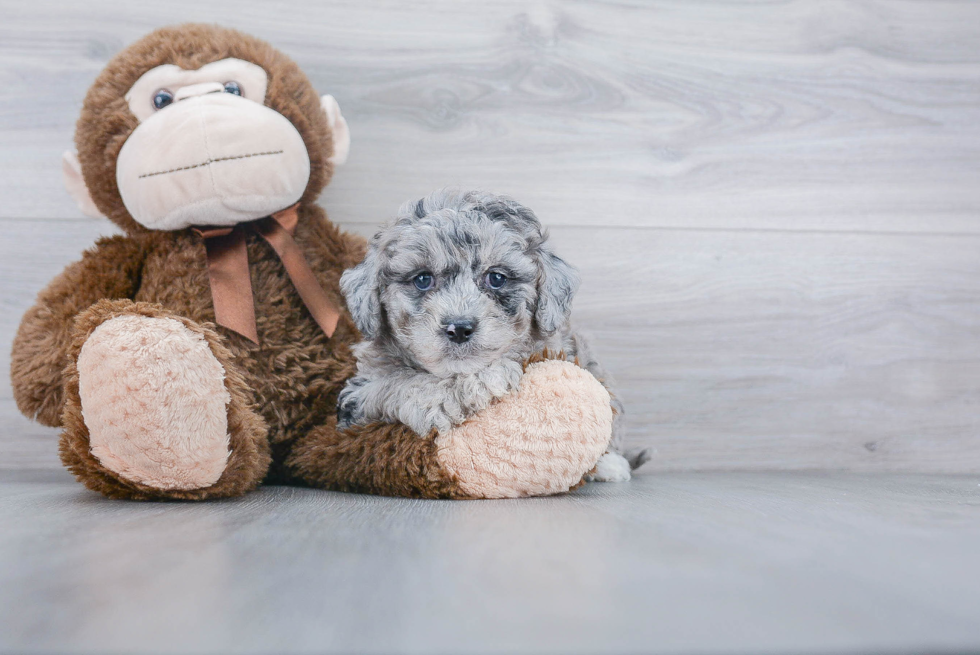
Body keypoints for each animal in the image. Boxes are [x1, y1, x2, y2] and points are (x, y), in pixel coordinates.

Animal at [338, 190, 652, 482]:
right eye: (423, 279)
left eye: (497, 278)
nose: (459, 328)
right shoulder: (358, 398)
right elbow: (399, 383)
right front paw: (475, 384)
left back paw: (611, 465)